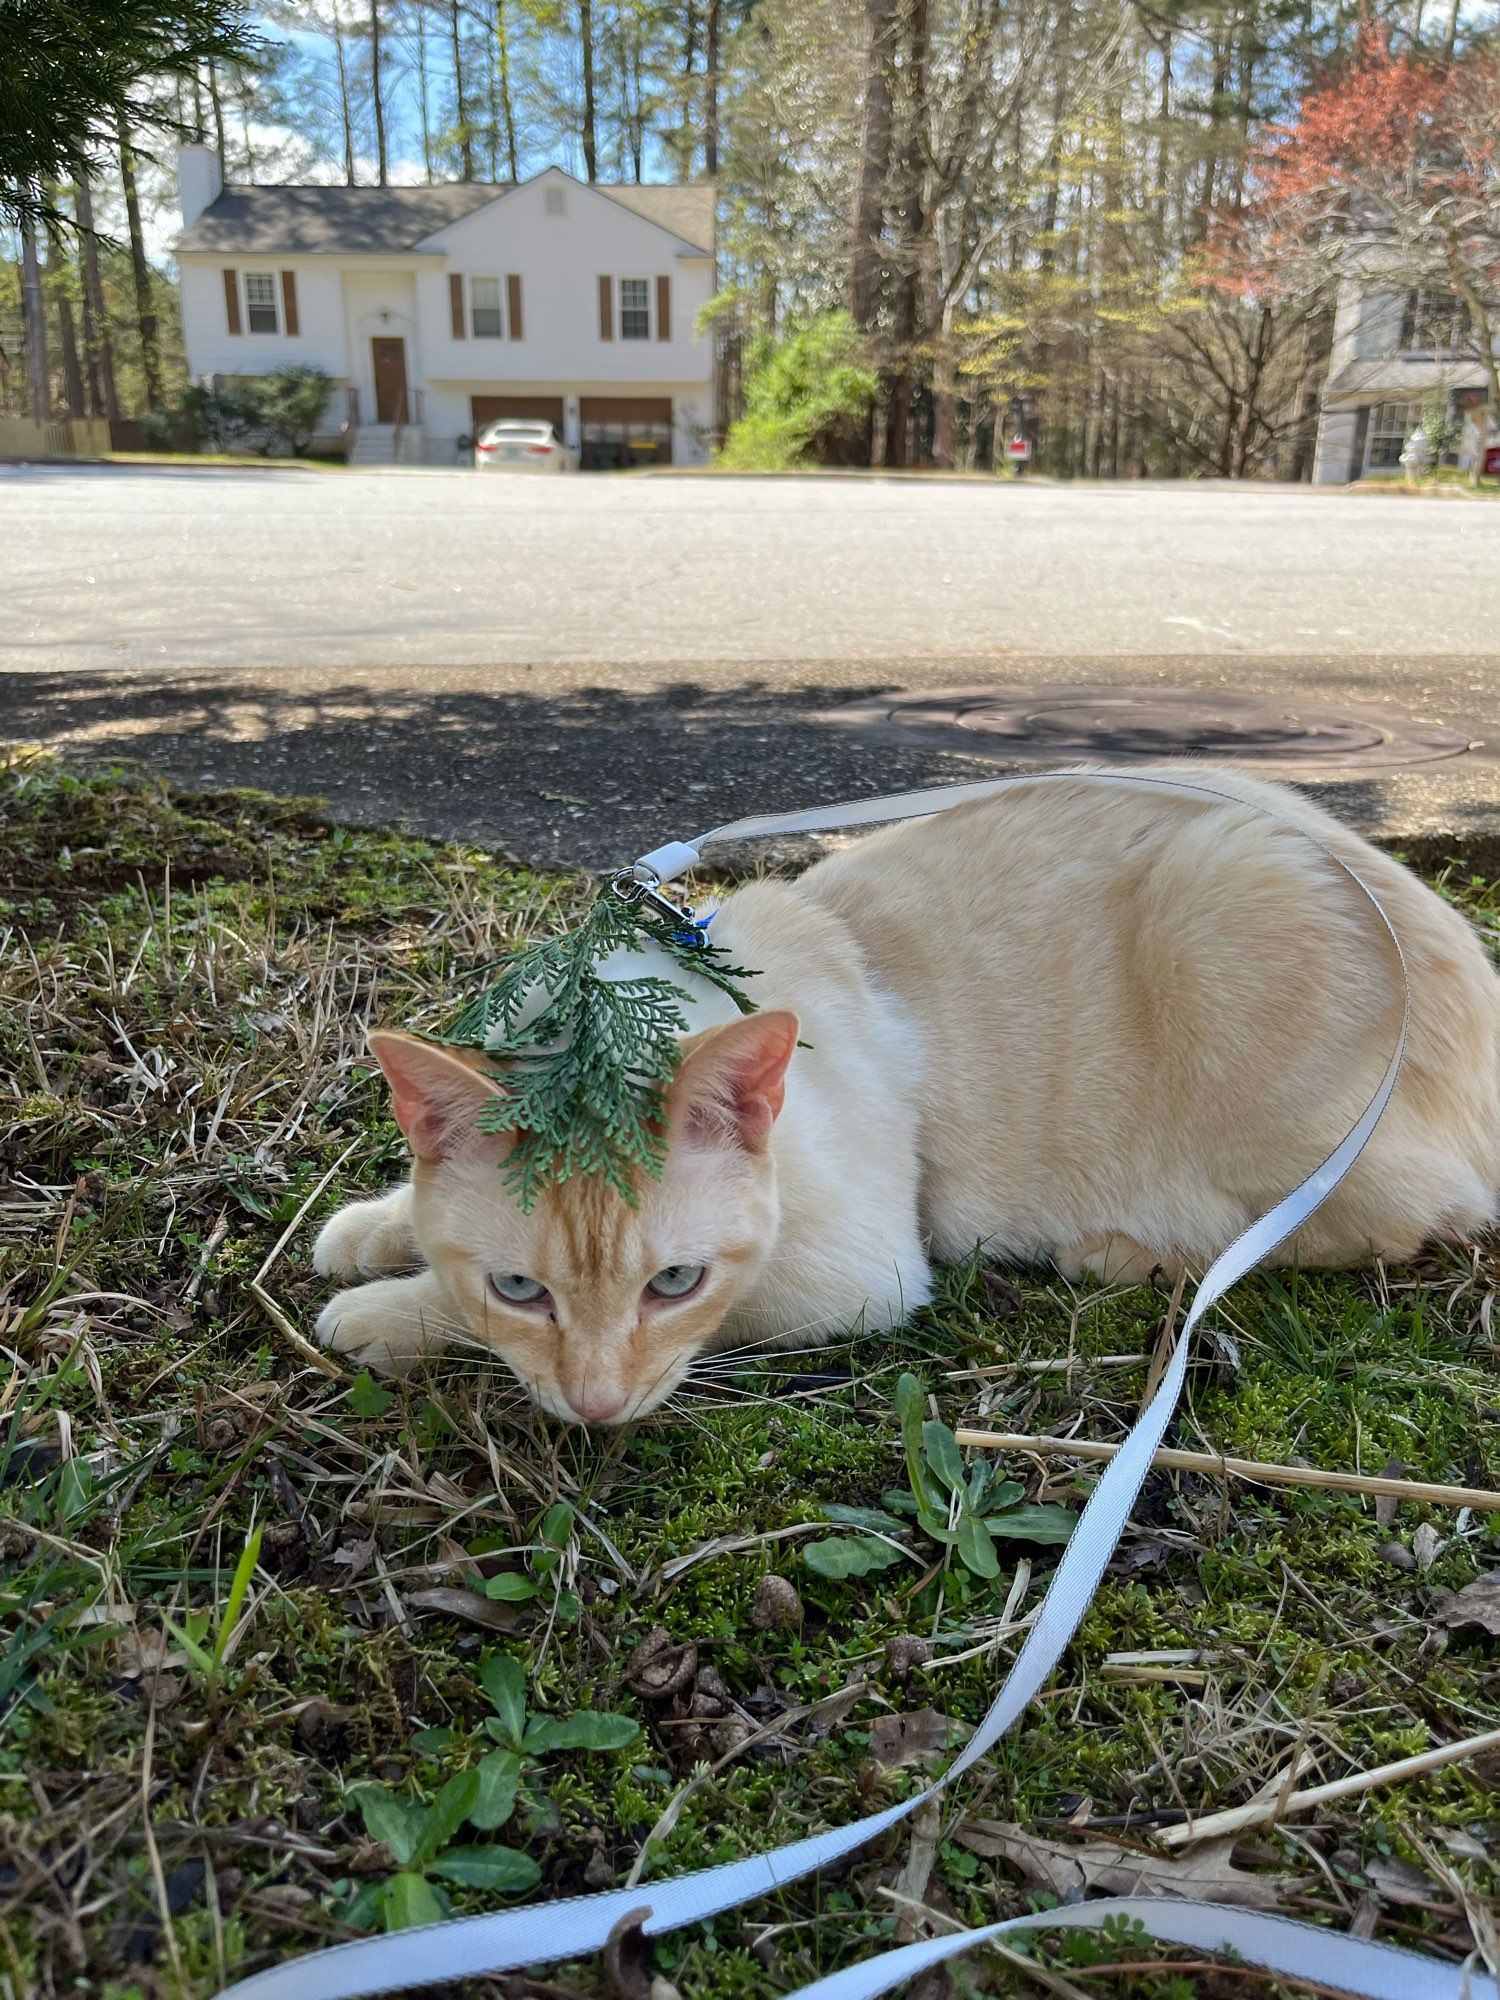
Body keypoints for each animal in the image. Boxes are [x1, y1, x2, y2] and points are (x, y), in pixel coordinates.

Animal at [314, 764, 1500, 1424]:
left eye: (675, 1282)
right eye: (523, 1286)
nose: (595, 1409)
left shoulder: (858, 1271)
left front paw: (378, 1312)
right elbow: (417, 1223)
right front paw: (372, 1229)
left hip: (1233, 917)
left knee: (1381, 1220)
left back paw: (1118, 1251)